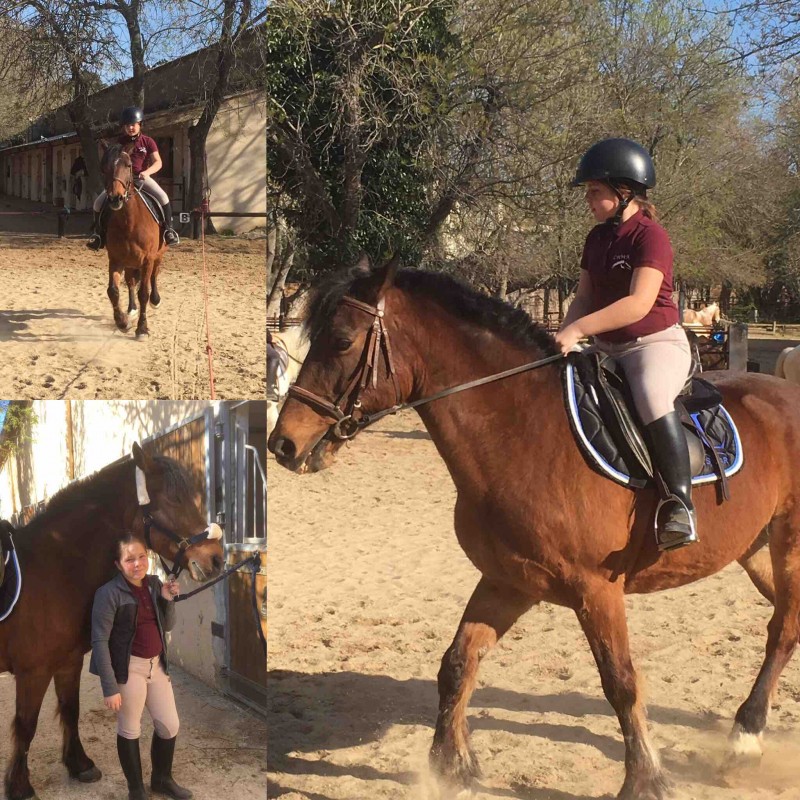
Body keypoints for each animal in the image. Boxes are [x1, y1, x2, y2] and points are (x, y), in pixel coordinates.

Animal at [0, 443, 224, 800]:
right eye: (174, 500)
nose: (215, 559)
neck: (54, 568)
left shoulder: (68, 661)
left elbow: (70, 709)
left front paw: (79, 765)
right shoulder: (33, 671)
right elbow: (25, 725)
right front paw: (19, 786)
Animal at [101, 144, 166, 340]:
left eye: (128, 165)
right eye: (104, 166)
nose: (115, 198)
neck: (129, 221)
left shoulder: (147, 260)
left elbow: (143, 292)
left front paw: (142, 329)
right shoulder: (115, 259)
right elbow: (113, 291)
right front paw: (122, 322)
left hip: (158, 256)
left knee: (154, 276)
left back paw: (155, 300)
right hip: (130, 263)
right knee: (130, 282)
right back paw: (131, 309)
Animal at [268, 257, 800, 800]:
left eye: (342, 342)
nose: (283, 444)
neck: (524, 430)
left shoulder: (596, 589)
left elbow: (620, 682)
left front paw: (645, 779)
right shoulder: (508, 580)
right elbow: (457, 663)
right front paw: (450, 766)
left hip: (789, 543)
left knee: (783, 629)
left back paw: (744, 739)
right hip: (754, 549)